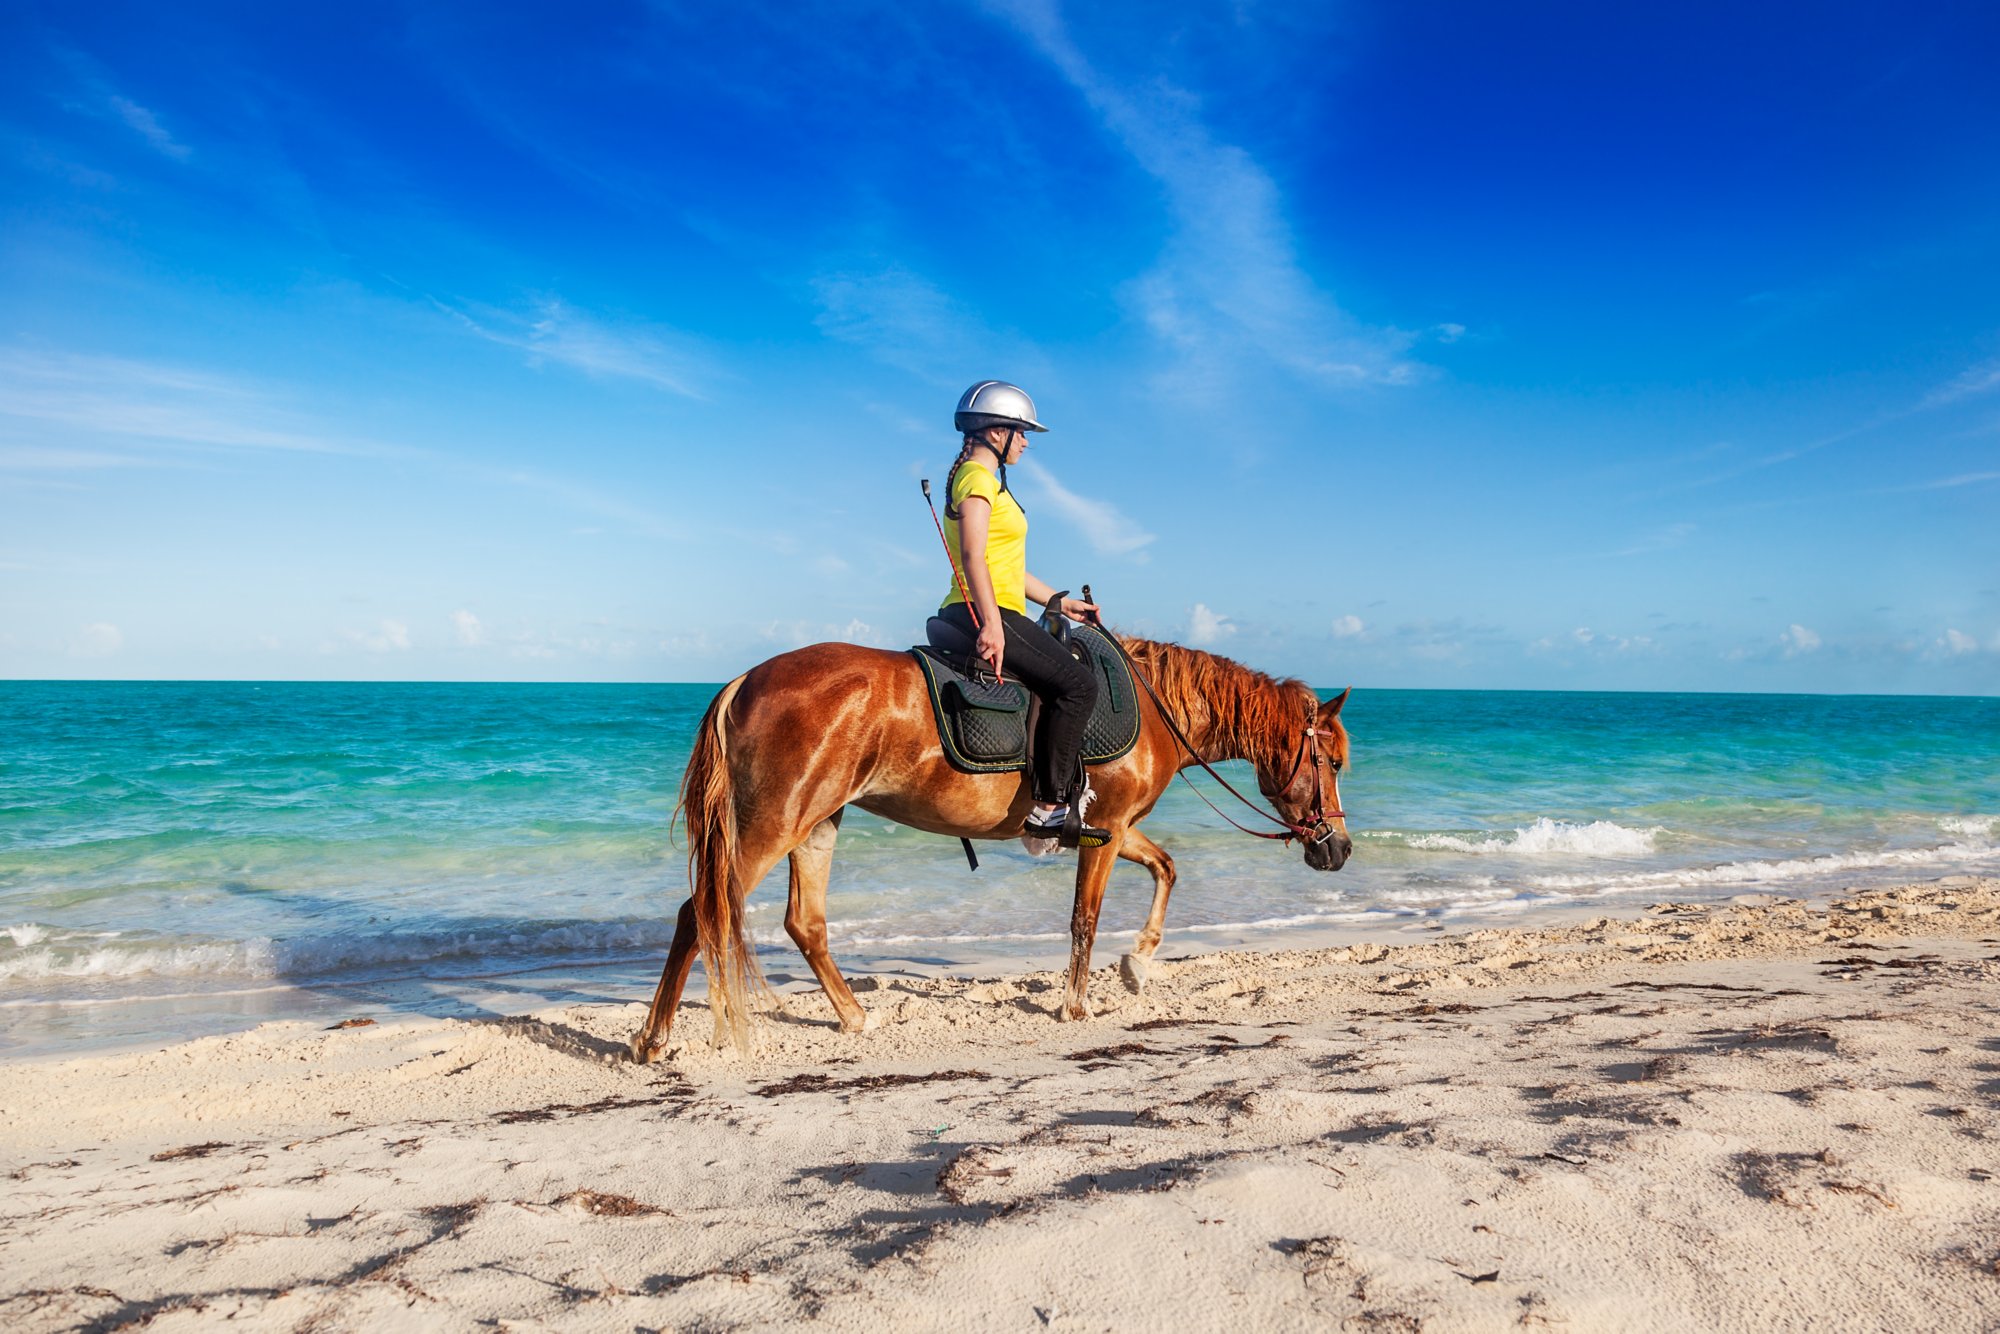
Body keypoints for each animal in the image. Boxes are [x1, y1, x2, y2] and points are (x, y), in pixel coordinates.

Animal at [632, 636, 1352, 1064]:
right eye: (1336, 762)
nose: (1339, 848)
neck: (1156, 707)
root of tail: (744, 680)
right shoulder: (1107, 829)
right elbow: (1085, 919)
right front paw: (1077, 1004)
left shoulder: (1113, 829)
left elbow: (1167, 869)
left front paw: (1139, 965)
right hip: (775, 823)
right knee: (700, 912)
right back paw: (655, 1037)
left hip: (816, 823)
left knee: (803, 923)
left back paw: (855, 1018)